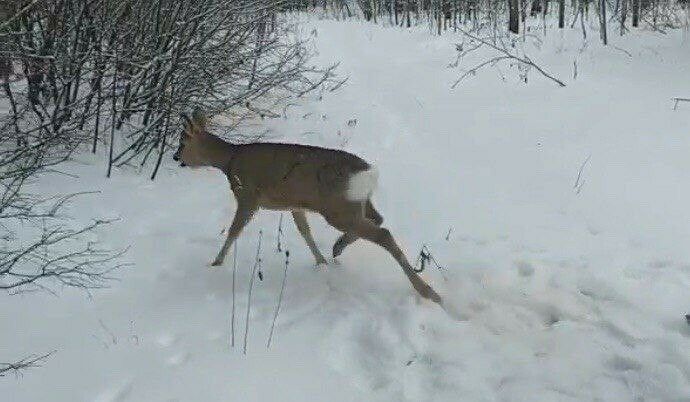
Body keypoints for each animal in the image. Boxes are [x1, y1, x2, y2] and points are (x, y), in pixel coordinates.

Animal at [173, 110, 440, 304]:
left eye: (183, 141)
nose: (177, 158)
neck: (229, 161)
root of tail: (368, 173)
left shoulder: (248, 196)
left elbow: (233, 231)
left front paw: (216, 263)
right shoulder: (295, 204)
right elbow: (304, 231)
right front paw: (320, 262)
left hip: (337, 208)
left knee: (383, 233)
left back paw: (430, 293)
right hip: (357, 203)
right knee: (379, 219)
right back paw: (337, 248)